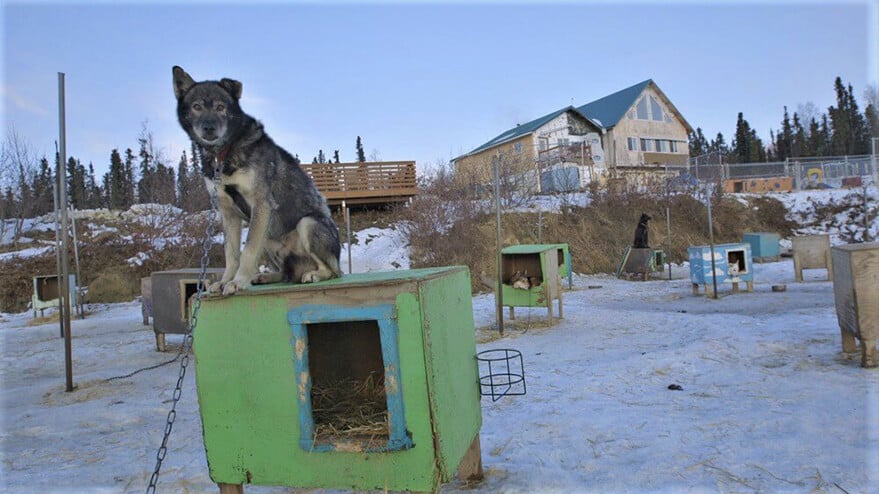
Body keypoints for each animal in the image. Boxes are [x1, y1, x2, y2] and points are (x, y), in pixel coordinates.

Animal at [171, 67, 340, 296]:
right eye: (196, 107)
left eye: (220, 107)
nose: (209, 128)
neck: (223, 155)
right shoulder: (228, 213)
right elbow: (231, 254)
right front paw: (225, 280)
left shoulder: (261, 204)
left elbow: (248, 250)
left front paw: (237, 282)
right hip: (268, 236)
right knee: (286, 274)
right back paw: (266, 276)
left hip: (307, 223)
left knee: (332, 270)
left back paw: (315, 274)